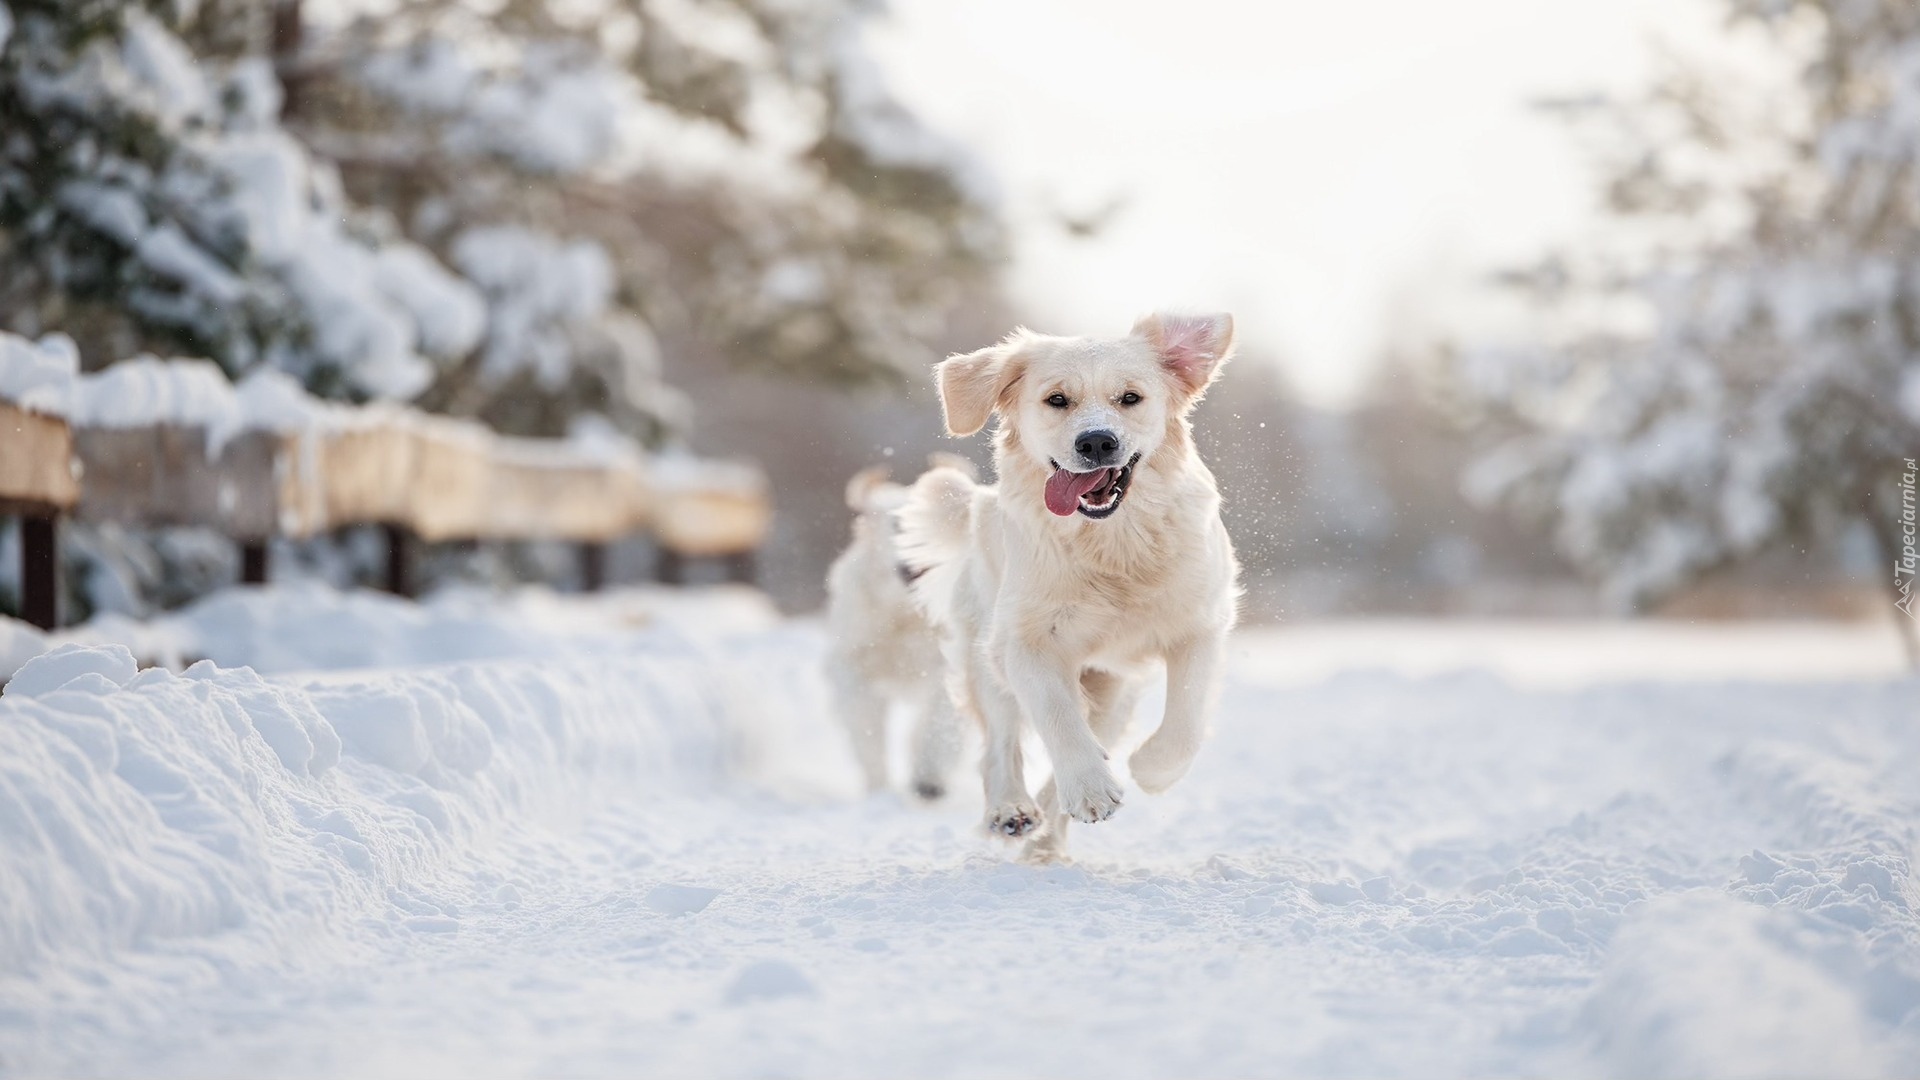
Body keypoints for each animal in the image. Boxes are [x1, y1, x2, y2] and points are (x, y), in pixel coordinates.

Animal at [894, 311, 1236, 857]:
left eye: (1130, 398)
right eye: (1057, 400)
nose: (1096, 441)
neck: (1113, 543)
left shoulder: (1200, 623)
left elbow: (1186, 720)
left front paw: (1151, 771)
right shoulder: (1024, 641)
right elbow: (1056, 716)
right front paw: (1090, 788)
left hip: (1113, 692)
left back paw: (1046, 843)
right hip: (984, 655)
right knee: (1001, 745)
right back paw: (1011, 811)